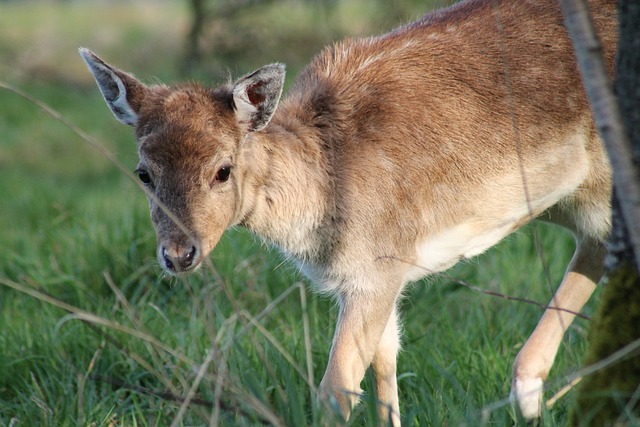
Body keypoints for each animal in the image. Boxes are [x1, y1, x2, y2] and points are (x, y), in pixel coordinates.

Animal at [77, 0, 616, 424]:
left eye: (223, 170)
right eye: (143, 173)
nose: (178, 254)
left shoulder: (377, 266)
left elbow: (336, 392)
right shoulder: (378, 275)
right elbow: (386, 364)